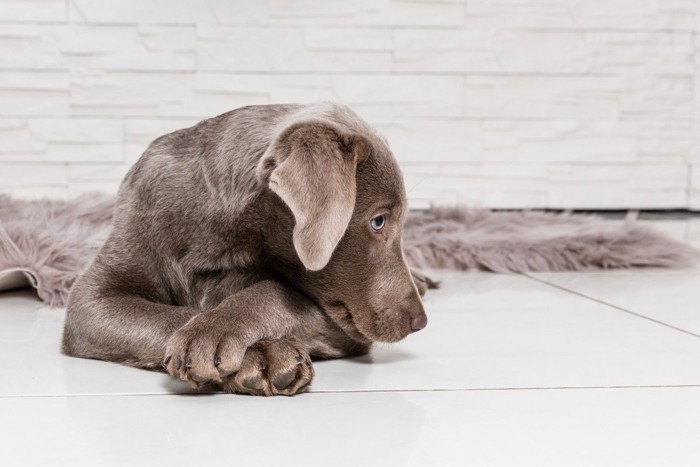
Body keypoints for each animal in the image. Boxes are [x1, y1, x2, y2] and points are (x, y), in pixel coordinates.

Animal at [61, 104, 432, 396]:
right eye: (379, 221)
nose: (420, 321)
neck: (219, 234)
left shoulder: (342, 326)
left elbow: (272, 289)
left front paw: (224, 336)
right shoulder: (93, 299)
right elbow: (162, 314)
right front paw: (259, 356)